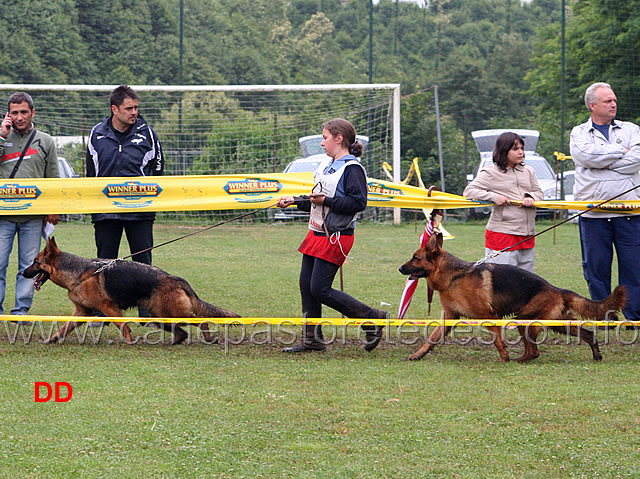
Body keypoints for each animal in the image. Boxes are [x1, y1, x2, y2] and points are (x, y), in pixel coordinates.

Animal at [21, 237, 240, 344]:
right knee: (182, 332)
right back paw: (175, 342)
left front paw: (128, 341)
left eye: (35, 262)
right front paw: (50, 340)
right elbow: (63, 329)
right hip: (158, 315)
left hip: (171, 313)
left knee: (201, 321)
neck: (78, 272)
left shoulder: (108, 308)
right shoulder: (82, 312)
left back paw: (207, 337)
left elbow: (123, 325)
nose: (22, 272)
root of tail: (175, 279)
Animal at [400, 233, 624, 364]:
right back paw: (596, 354)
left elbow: (497, 341)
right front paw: (418, 354)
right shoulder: (449, 317)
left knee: (534, 351)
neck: (455, 276)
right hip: (556, 322)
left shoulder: (490, 316)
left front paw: (504, 357)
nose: (400, 269)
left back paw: (518, 360)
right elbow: (431, 339)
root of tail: (557, 289)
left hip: (525, 320)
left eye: (415, 258)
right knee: (586, 334)